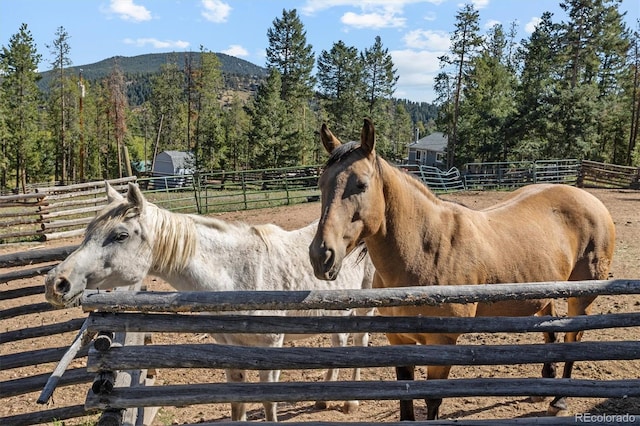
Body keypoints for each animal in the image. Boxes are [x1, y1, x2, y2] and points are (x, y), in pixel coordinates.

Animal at [46, 181, 376, 422]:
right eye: (88, 231)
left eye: (120, 235)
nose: (56, 283)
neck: (238, 276)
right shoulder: (231, 352)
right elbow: (237, 403)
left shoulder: (271, 348)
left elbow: (268, 402)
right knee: (340, 342)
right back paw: (323, 399)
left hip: (366, 303)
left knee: (360, 341)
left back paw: (351, 402)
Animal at [308, 118, 616, 422]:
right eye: (321, 183)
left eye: (361, 184)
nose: (321, 255)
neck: (425, 251)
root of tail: (590, 199)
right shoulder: (399, 340)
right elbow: (406, 402)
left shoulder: (442, 344)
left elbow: (432, 401)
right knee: (550, 330)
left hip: (581, 296)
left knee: (572, 338)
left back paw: (559, 400)